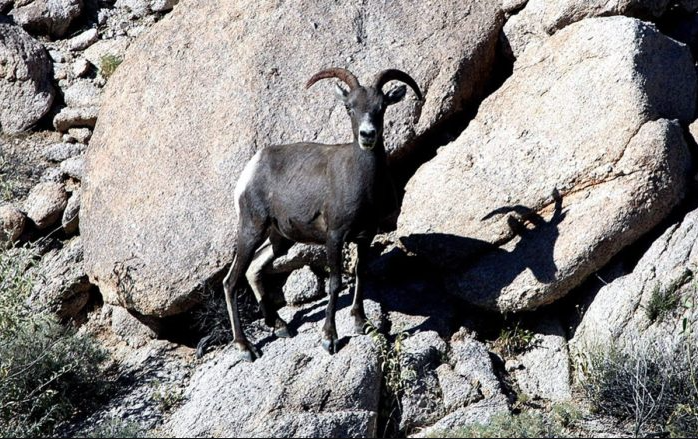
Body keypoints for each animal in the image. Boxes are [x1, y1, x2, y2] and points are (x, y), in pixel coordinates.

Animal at [222, 68, 418, 360]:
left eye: (381, 107)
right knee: (231, 282)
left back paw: (280, 326)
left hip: (280, 239)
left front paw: (361, 322)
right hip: (251, 230)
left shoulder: (365, 236)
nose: (367, 135)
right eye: (349, 108)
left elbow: (361, 273)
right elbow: (335, 283)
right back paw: (245, 347)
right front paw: (330, 339)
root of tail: (252, 168)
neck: (363, 181)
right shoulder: (335, 237)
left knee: (254, 269)